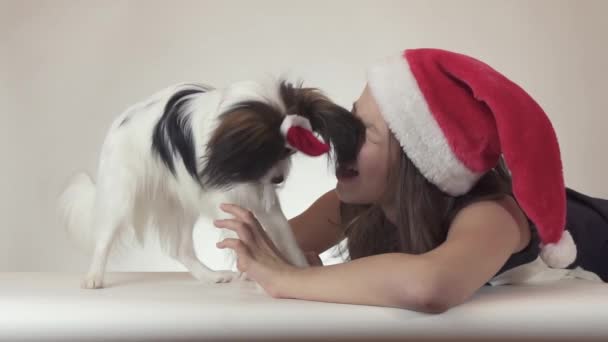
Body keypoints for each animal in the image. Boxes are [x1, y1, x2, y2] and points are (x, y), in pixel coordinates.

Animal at [57, 78, 364, 288]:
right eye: (268, 154)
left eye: (289, 152)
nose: (279, 179)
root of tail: (120, 121)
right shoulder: (228, 201)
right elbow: (240, 236)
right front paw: (255, 270)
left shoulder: (265, 203)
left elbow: (285, 238)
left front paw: (299, 271)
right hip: (122, 195)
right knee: (104, 237)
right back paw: (94, 277)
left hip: (182, 205)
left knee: (179, 249)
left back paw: (210, 276)